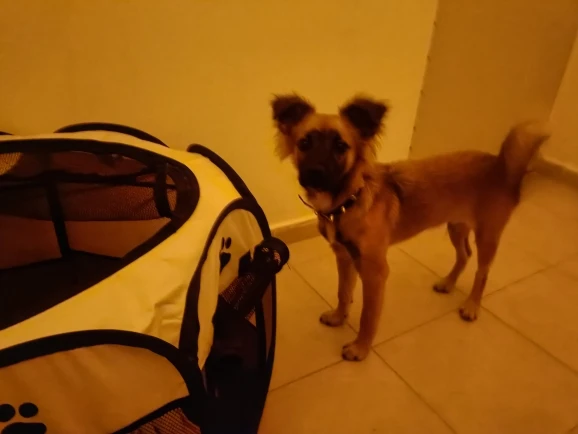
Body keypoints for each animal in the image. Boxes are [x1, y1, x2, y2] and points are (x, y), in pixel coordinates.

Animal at [270, 94, 550, 361]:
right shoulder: (344, 256)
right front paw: (339, 317)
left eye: (341, 146)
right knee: (464, 254)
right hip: (456, 225)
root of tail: (501, 166)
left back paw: (472, 306)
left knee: (482, 272)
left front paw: (360, 348)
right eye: (304, 143)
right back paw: (448, 283)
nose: (315, 173)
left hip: (487, 234)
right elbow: (343, 291)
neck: (350, 199)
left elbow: (368, 315)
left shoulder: (375, 272)